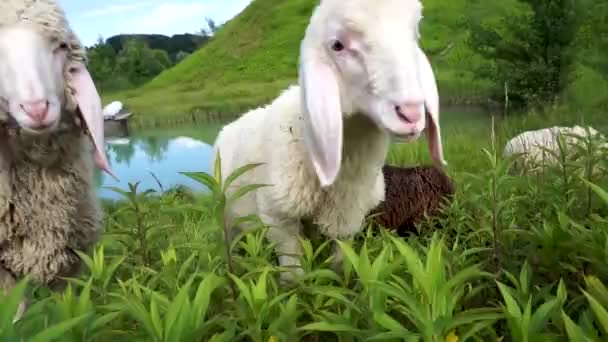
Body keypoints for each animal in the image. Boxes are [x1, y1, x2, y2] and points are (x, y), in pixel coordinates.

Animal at [211, 0, 444, 282]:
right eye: (337, 45)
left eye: (414, 35)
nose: (410, 113)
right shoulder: (278, 217)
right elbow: (294, 275)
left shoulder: (347, 217)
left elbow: (340, 266)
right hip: (226, 214)